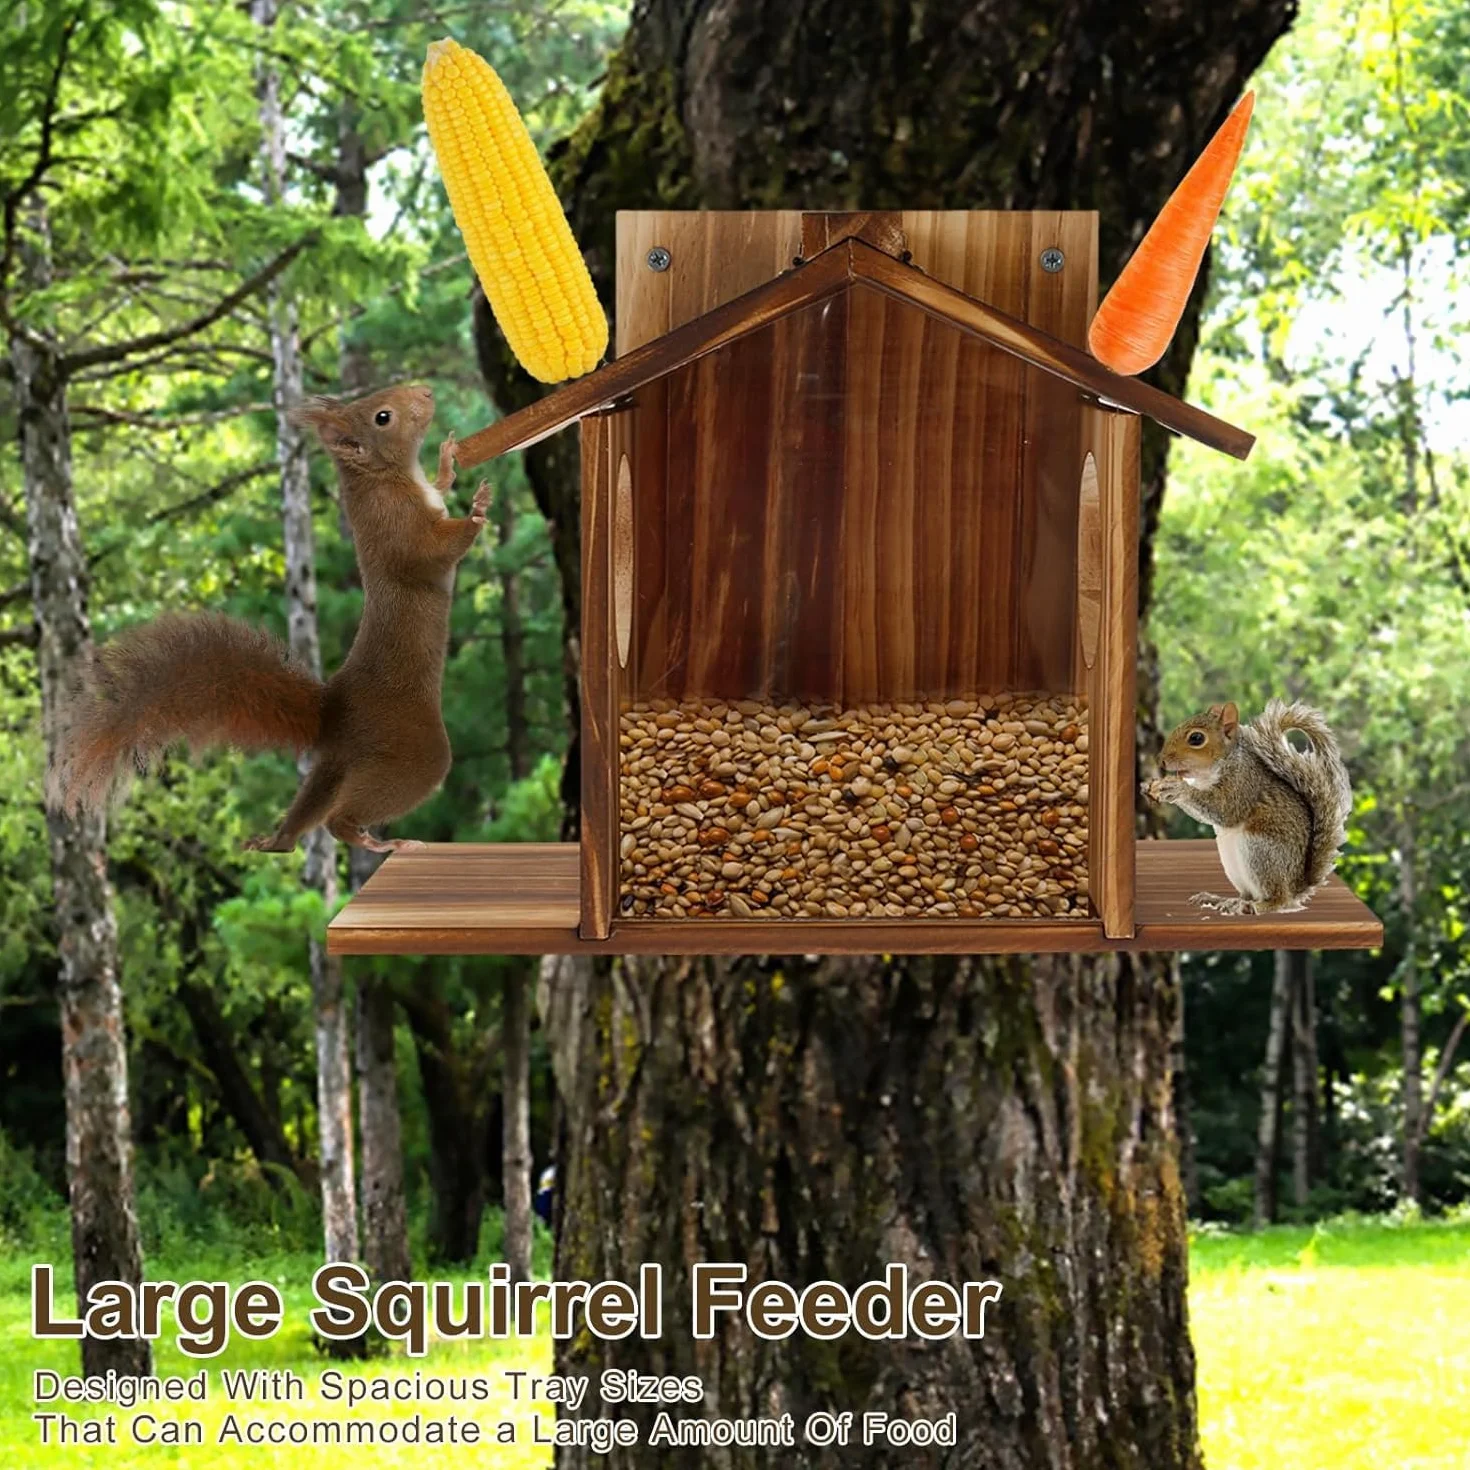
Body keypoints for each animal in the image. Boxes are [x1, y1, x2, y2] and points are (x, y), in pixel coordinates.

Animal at [50, 383, 489, 855]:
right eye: (383, 417)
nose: (425, 391)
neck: (386, 476)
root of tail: (332, 716)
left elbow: (441, 487)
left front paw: (447, 459)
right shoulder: (398, 530)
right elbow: (433, 553)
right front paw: (477, 512)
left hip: (336, 765)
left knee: (308, 811)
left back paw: (275, 841)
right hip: (412, 752)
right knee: (340, 818)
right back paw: (381, 842)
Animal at [1142, 700, 1352, 915]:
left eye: (1196, 738)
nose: (1161, 761)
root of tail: (1296, 886)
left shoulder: (1243, 784)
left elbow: (1224, 809)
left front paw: (1178, 789)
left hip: (1261, 852)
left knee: (1280, 899)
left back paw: (1258, 906)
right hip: (1231, 862)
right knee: (1247, 894)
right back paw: (1224, 900)